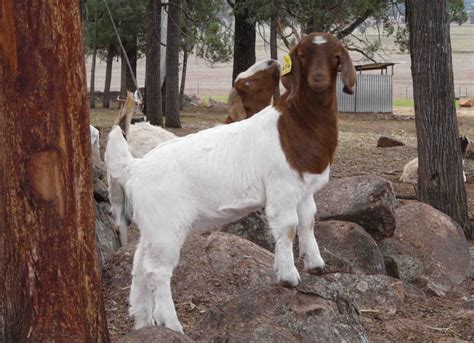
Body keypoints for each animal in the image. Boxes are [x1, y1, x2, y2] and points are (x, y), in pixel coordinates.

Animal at [104, 32, 356, 334]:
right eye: (303, 55)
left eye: (335, 55)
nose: (318, 78)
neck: (293, 125)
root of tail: (135, 167)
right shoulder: (281, 188)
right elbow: (288, 228)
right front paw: (288, 276)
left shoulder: (303, 189)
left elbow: (308, 221)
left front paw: (315, 264)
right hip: (167, 226)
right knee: (157, 270)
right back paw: (172, 324)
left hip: (152, 226)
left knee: (140, 264)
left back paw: (144, 323)